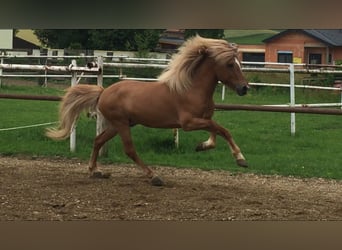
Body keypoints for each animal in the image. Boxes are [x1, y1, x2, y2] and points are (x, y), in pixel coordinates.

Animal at [46, 35, 248, 186]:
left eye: (239, 64)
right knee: (129, 149)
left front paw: (202, 146)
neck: (191, 89)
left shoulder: (204, 118)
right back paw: (154, 176)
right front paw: (241, 159)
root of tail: (103, 92)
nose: (244, 88)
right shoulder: (189, 123)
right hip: (121, 124)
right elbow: (222, 129)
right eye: (230, 64)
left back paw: (95, 171)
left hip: (118, 125)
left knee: (98, 141)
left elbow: (215, 131)